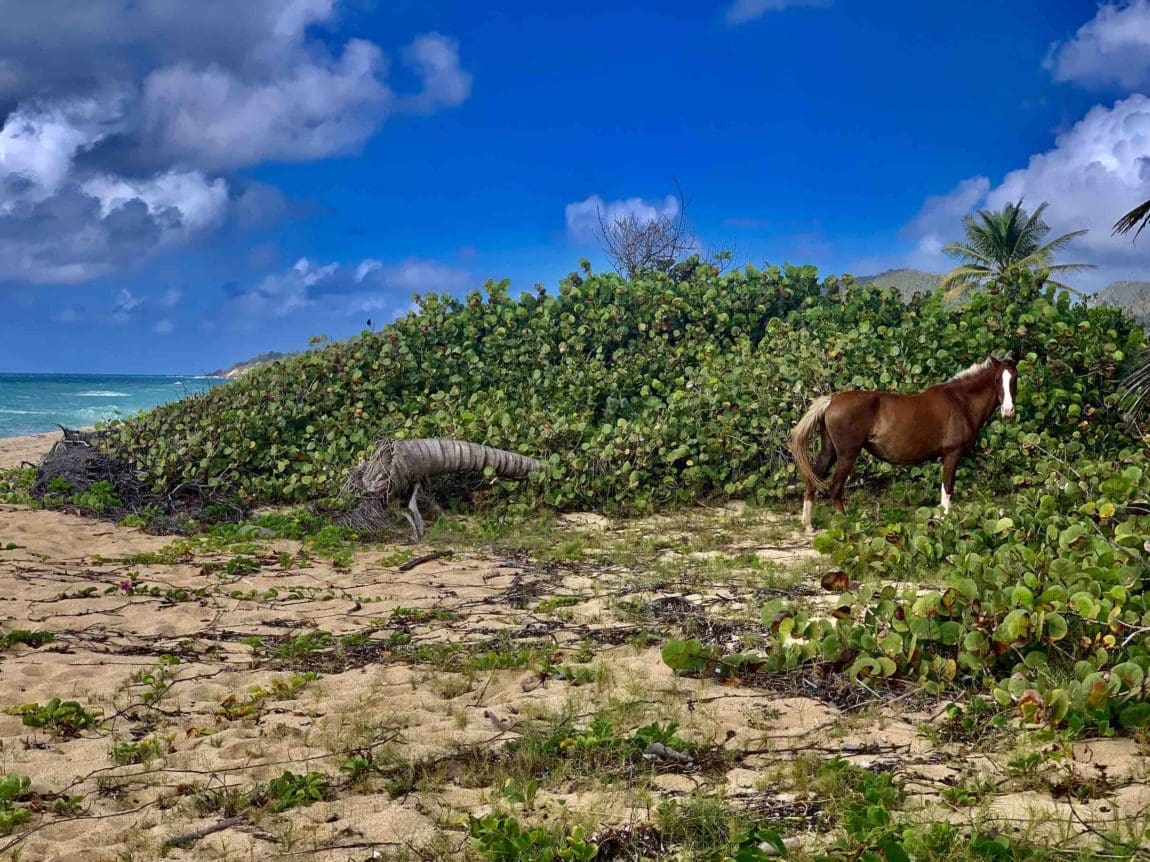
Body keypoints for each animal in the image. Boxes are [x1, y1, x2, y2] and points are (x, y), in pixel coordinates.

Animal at [791, 351, 1016, 530]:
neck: (961, 401)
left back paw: (808, 525)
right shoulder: (952, 455)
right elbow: (947, 489)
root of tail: (832, 401)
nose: (1008, 411)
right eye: (997, 379)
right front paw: (945, 522)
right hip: (847, 454)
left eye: (1014, 379)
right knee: (835, 488)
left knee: (813, 479)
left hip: (829, 451)